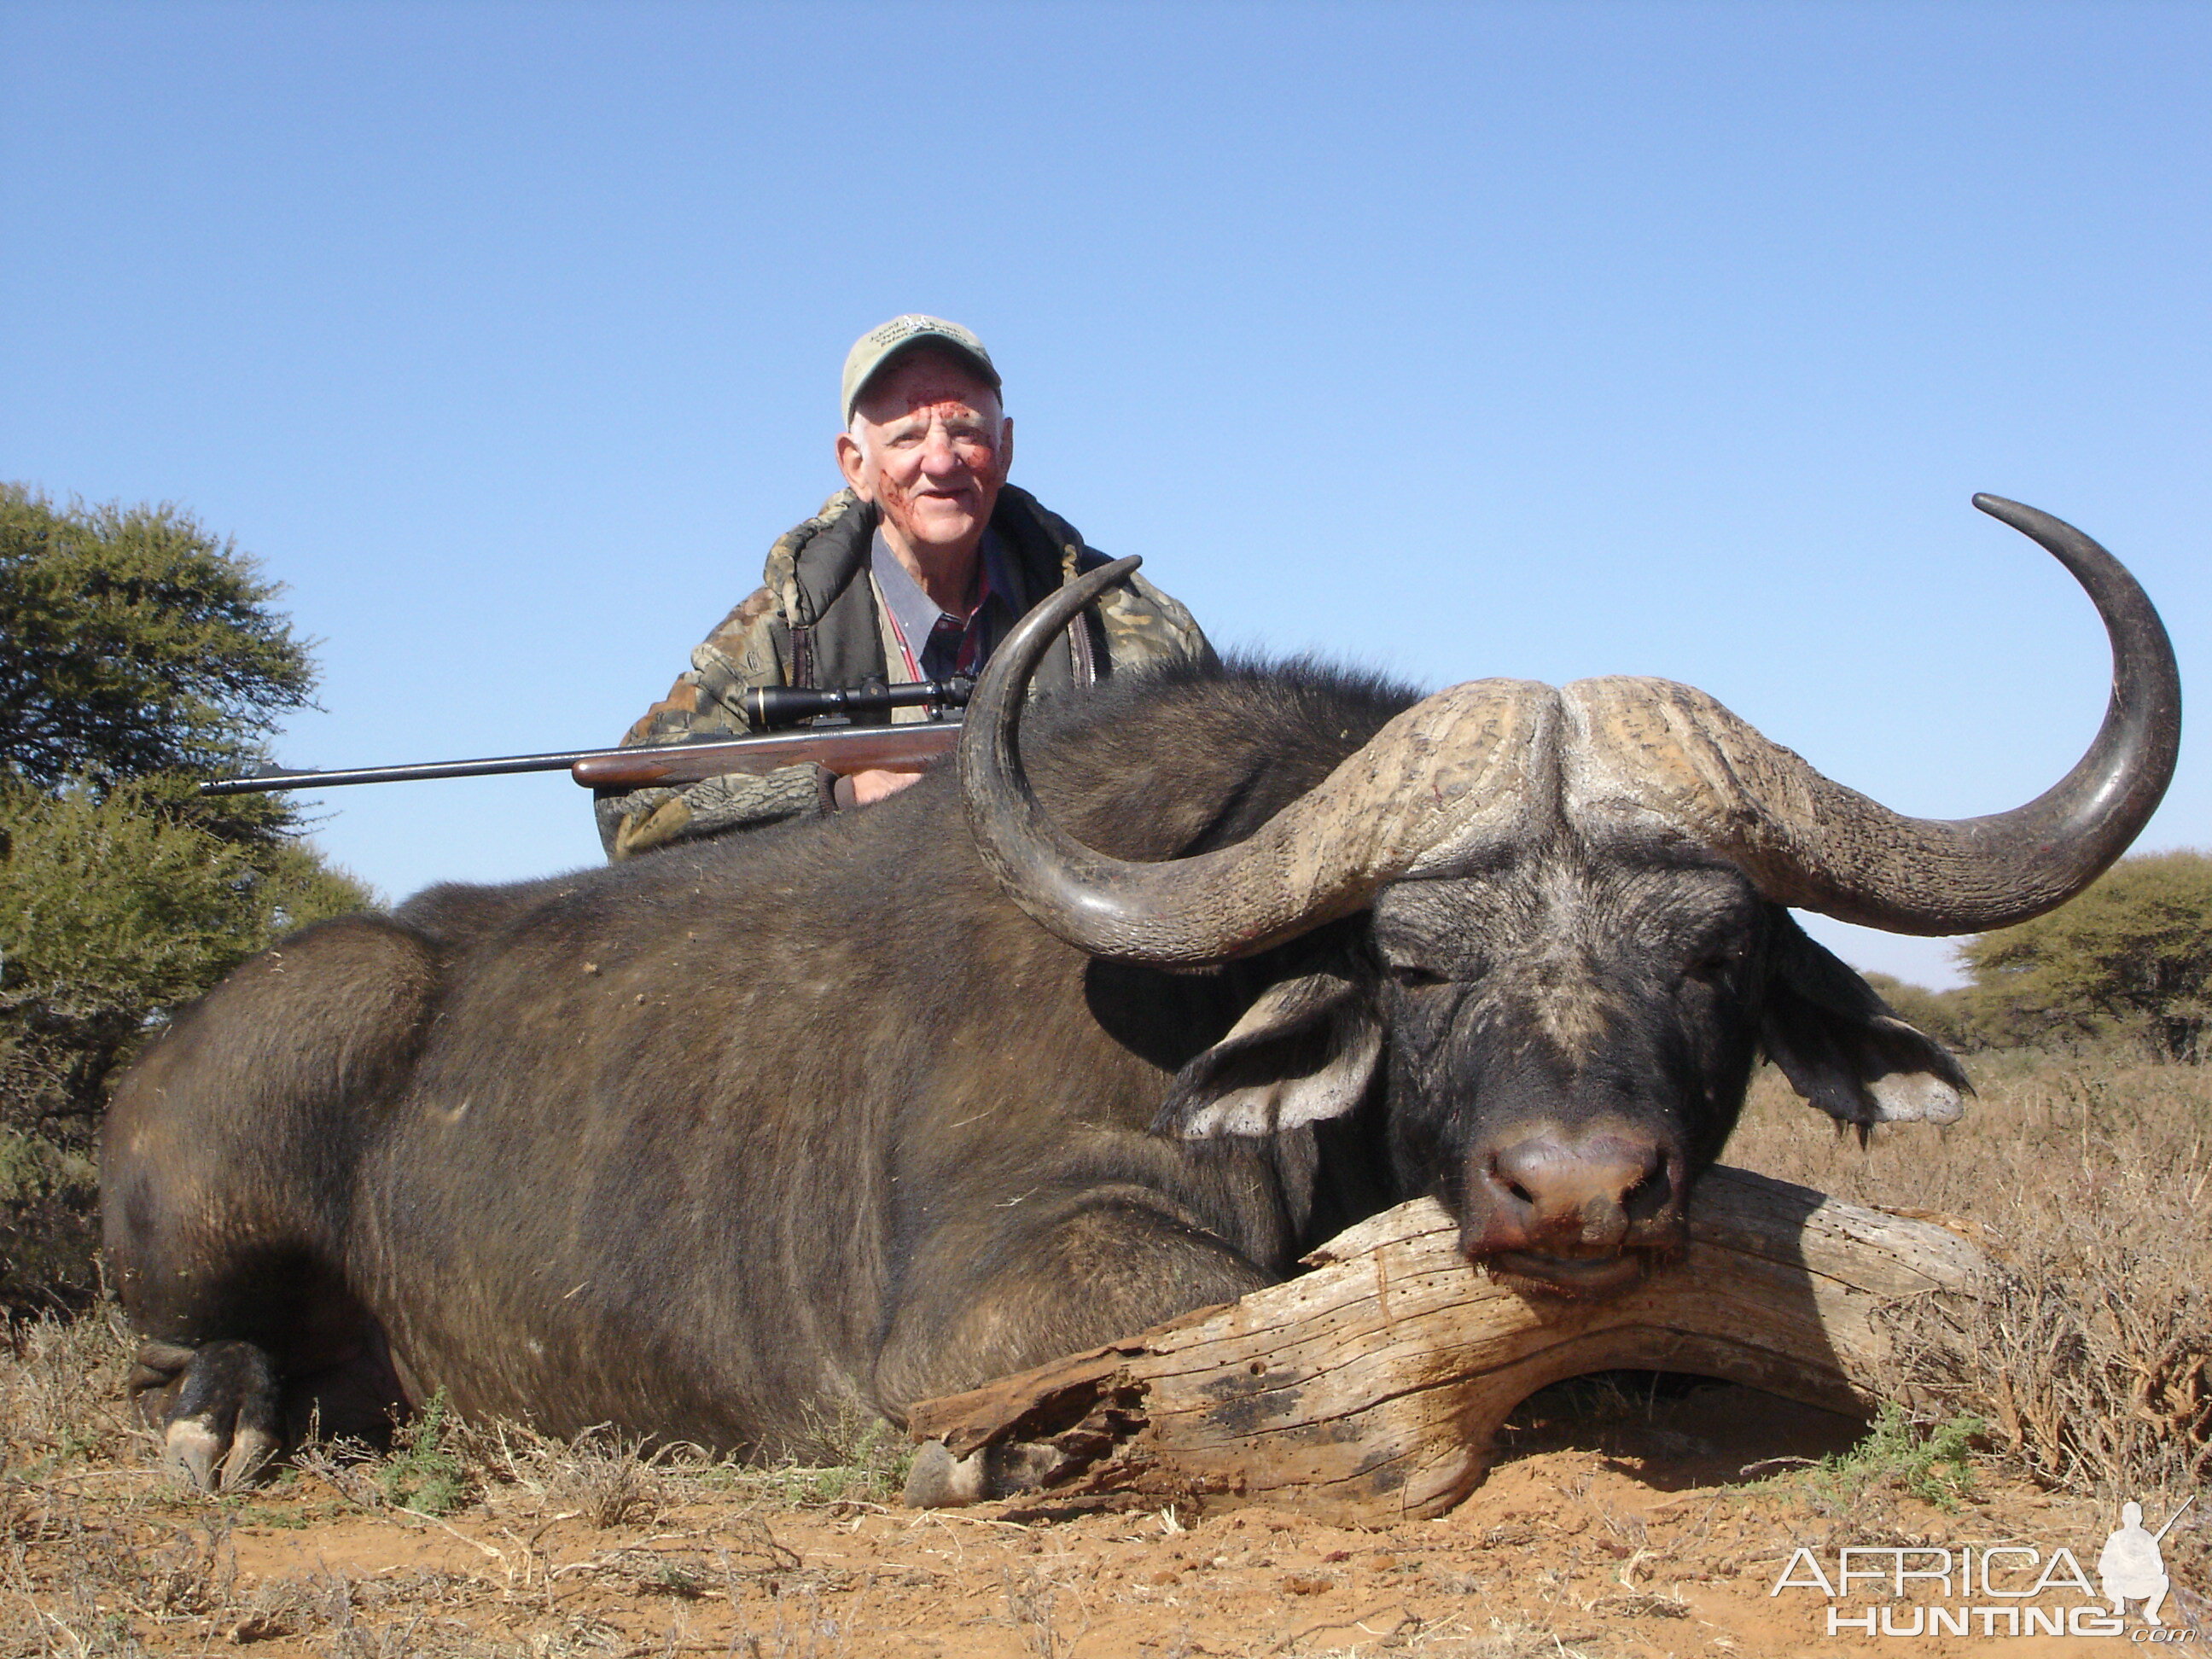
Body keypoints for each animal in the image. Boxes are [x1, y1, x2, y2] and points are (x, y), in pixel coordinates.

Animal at [103, 493, 2176, 1495]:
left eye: (1714, 953)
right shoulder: (1014, 1289)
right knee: (199, 1346)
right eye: (1412, 961)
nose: (1581, 1187)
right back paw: (227, 1423)